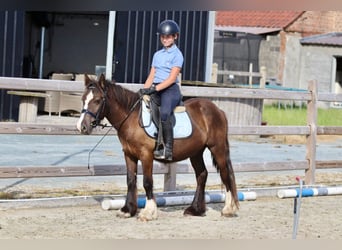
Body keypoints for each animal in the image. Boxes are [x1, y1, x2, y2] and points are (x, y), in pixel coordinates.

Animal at [76, 74, 239, 221]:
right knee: (202, 175)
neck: (132, 118)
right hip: (196, 152)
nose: (82, 127)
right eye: (83, 100)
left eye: (97, 100)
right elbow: (131, 180)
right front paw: (127, 210)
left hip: (217, 148)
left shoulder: (146, 155)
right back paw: (196, 210)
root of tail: (218, 110)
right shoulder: (129, 154)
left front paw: (148, 213)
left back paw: (228, 209)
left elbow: (147, 182)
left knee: (225, 174)